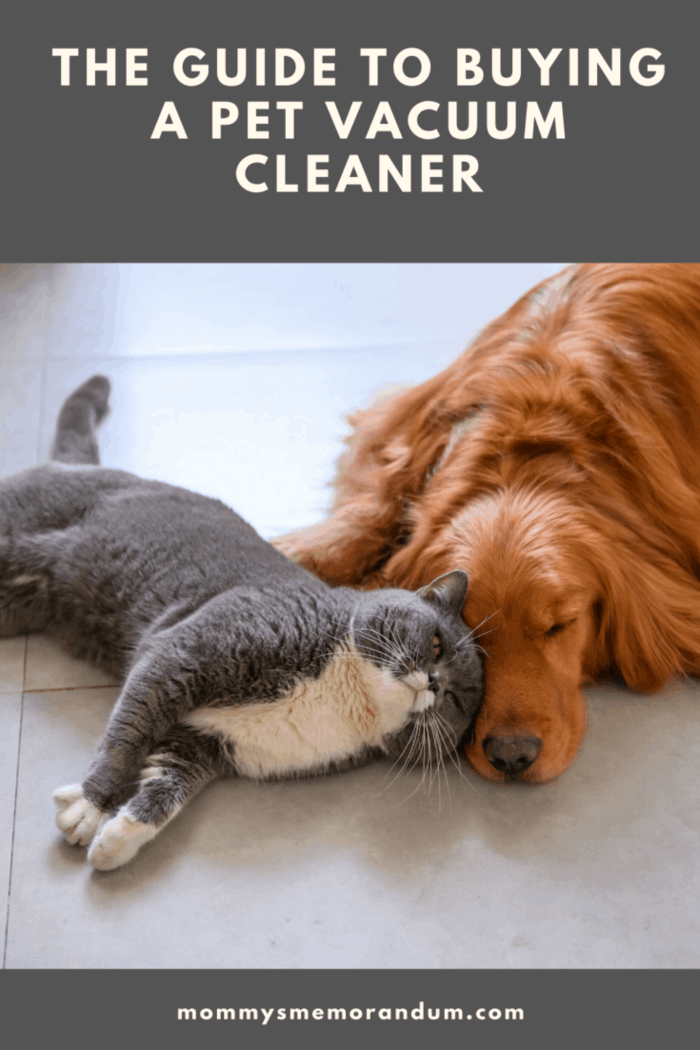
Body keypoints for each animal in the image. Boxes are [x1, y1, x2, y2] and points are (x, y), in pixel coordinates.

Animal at [0, 375, 482, 869]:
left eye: (457, 700)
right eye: (437, 644)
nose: (434, 682)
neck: (346, 695)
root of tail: (74, 465)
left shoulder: (202, 743)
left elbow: (167, 787)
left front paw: (119, 838)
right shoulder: (186, 651)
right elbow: (126, 735)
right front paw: (90, 805)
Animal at [274, 266, 700, 785]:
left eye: (560, 625)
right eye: (470, 630)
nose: (511, 756)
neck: (530, 448)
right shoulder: (402, 435)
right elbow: (370, 508)